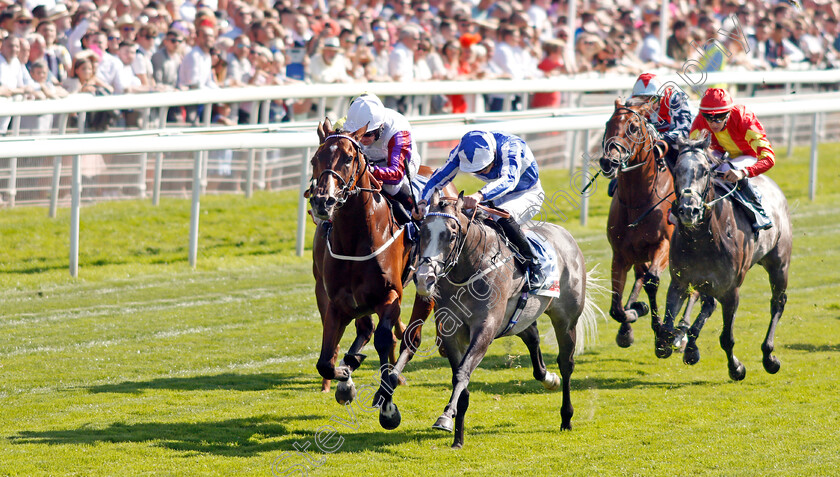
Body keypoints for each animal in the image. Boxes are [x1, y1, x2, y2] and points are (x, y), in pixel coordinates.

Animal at [306, 118, 452, 428]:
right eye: (315, 159)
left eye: (349, 158)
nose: (323, 202)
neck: (355, 238)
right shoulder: (337, 301)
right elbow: (326, 361)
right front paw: (345, 378)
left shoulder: (389, 296)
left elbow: (386, 339)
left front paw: (387, 405)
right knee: (366, 331)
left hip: (427, 285)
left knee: (410, 337)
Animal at [412, 190, 596, 446]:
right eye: (422, 232)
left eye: (451, 235)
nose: (424, 279)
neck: (472, 267)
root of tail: (566, 235)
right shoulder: (451, 330)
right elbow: (461, 379)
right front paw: (458, 437)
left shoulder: (486, 327)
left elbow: (462, 373)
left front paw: (446, 417)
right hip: (519, 319)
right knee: (533, 338)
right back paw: (549, 378)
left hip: (566, 319)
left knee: (566, 364)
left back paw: (566, 417)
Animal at [596, 98, 696, 348]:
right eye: (607, 124)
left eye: (633, 127)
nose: (608, 161)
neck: (637, 201)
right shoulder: (621, 253)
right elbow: (616, 305)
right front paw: (631, 316)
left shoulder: (663, 245)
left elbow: (652, 281)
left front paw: (661, 332)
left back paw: (681, 332)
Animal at [660, 135, 792, 380]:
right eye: (677, 169)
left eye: (704, 171)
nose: (688, 210)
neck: (703, 240)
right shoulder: (680, 281)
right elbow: (665, 330)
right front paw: (675, 344)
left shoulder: (730, 291)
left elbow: (726, 338)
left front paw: (736, 368)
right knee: (708, 303)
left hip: (779, 263)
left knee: (778, 303)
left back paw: (769, 356)